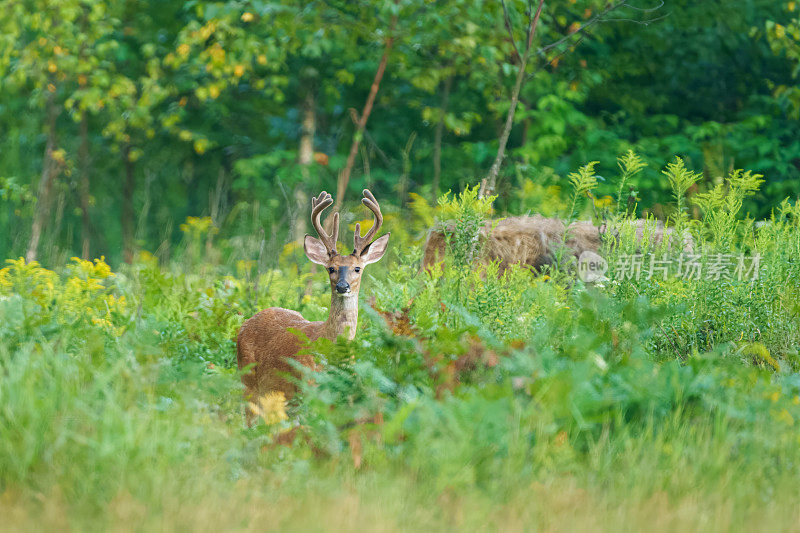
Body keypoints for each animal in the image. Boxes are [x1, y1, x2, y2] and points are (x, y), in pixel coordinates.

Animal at [234, 191, 390, 408]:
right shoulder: (306, 386)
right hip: (248, 380)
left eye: (357, 268)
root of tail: (245, 323)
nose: (342, 286)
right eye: (331, 268)